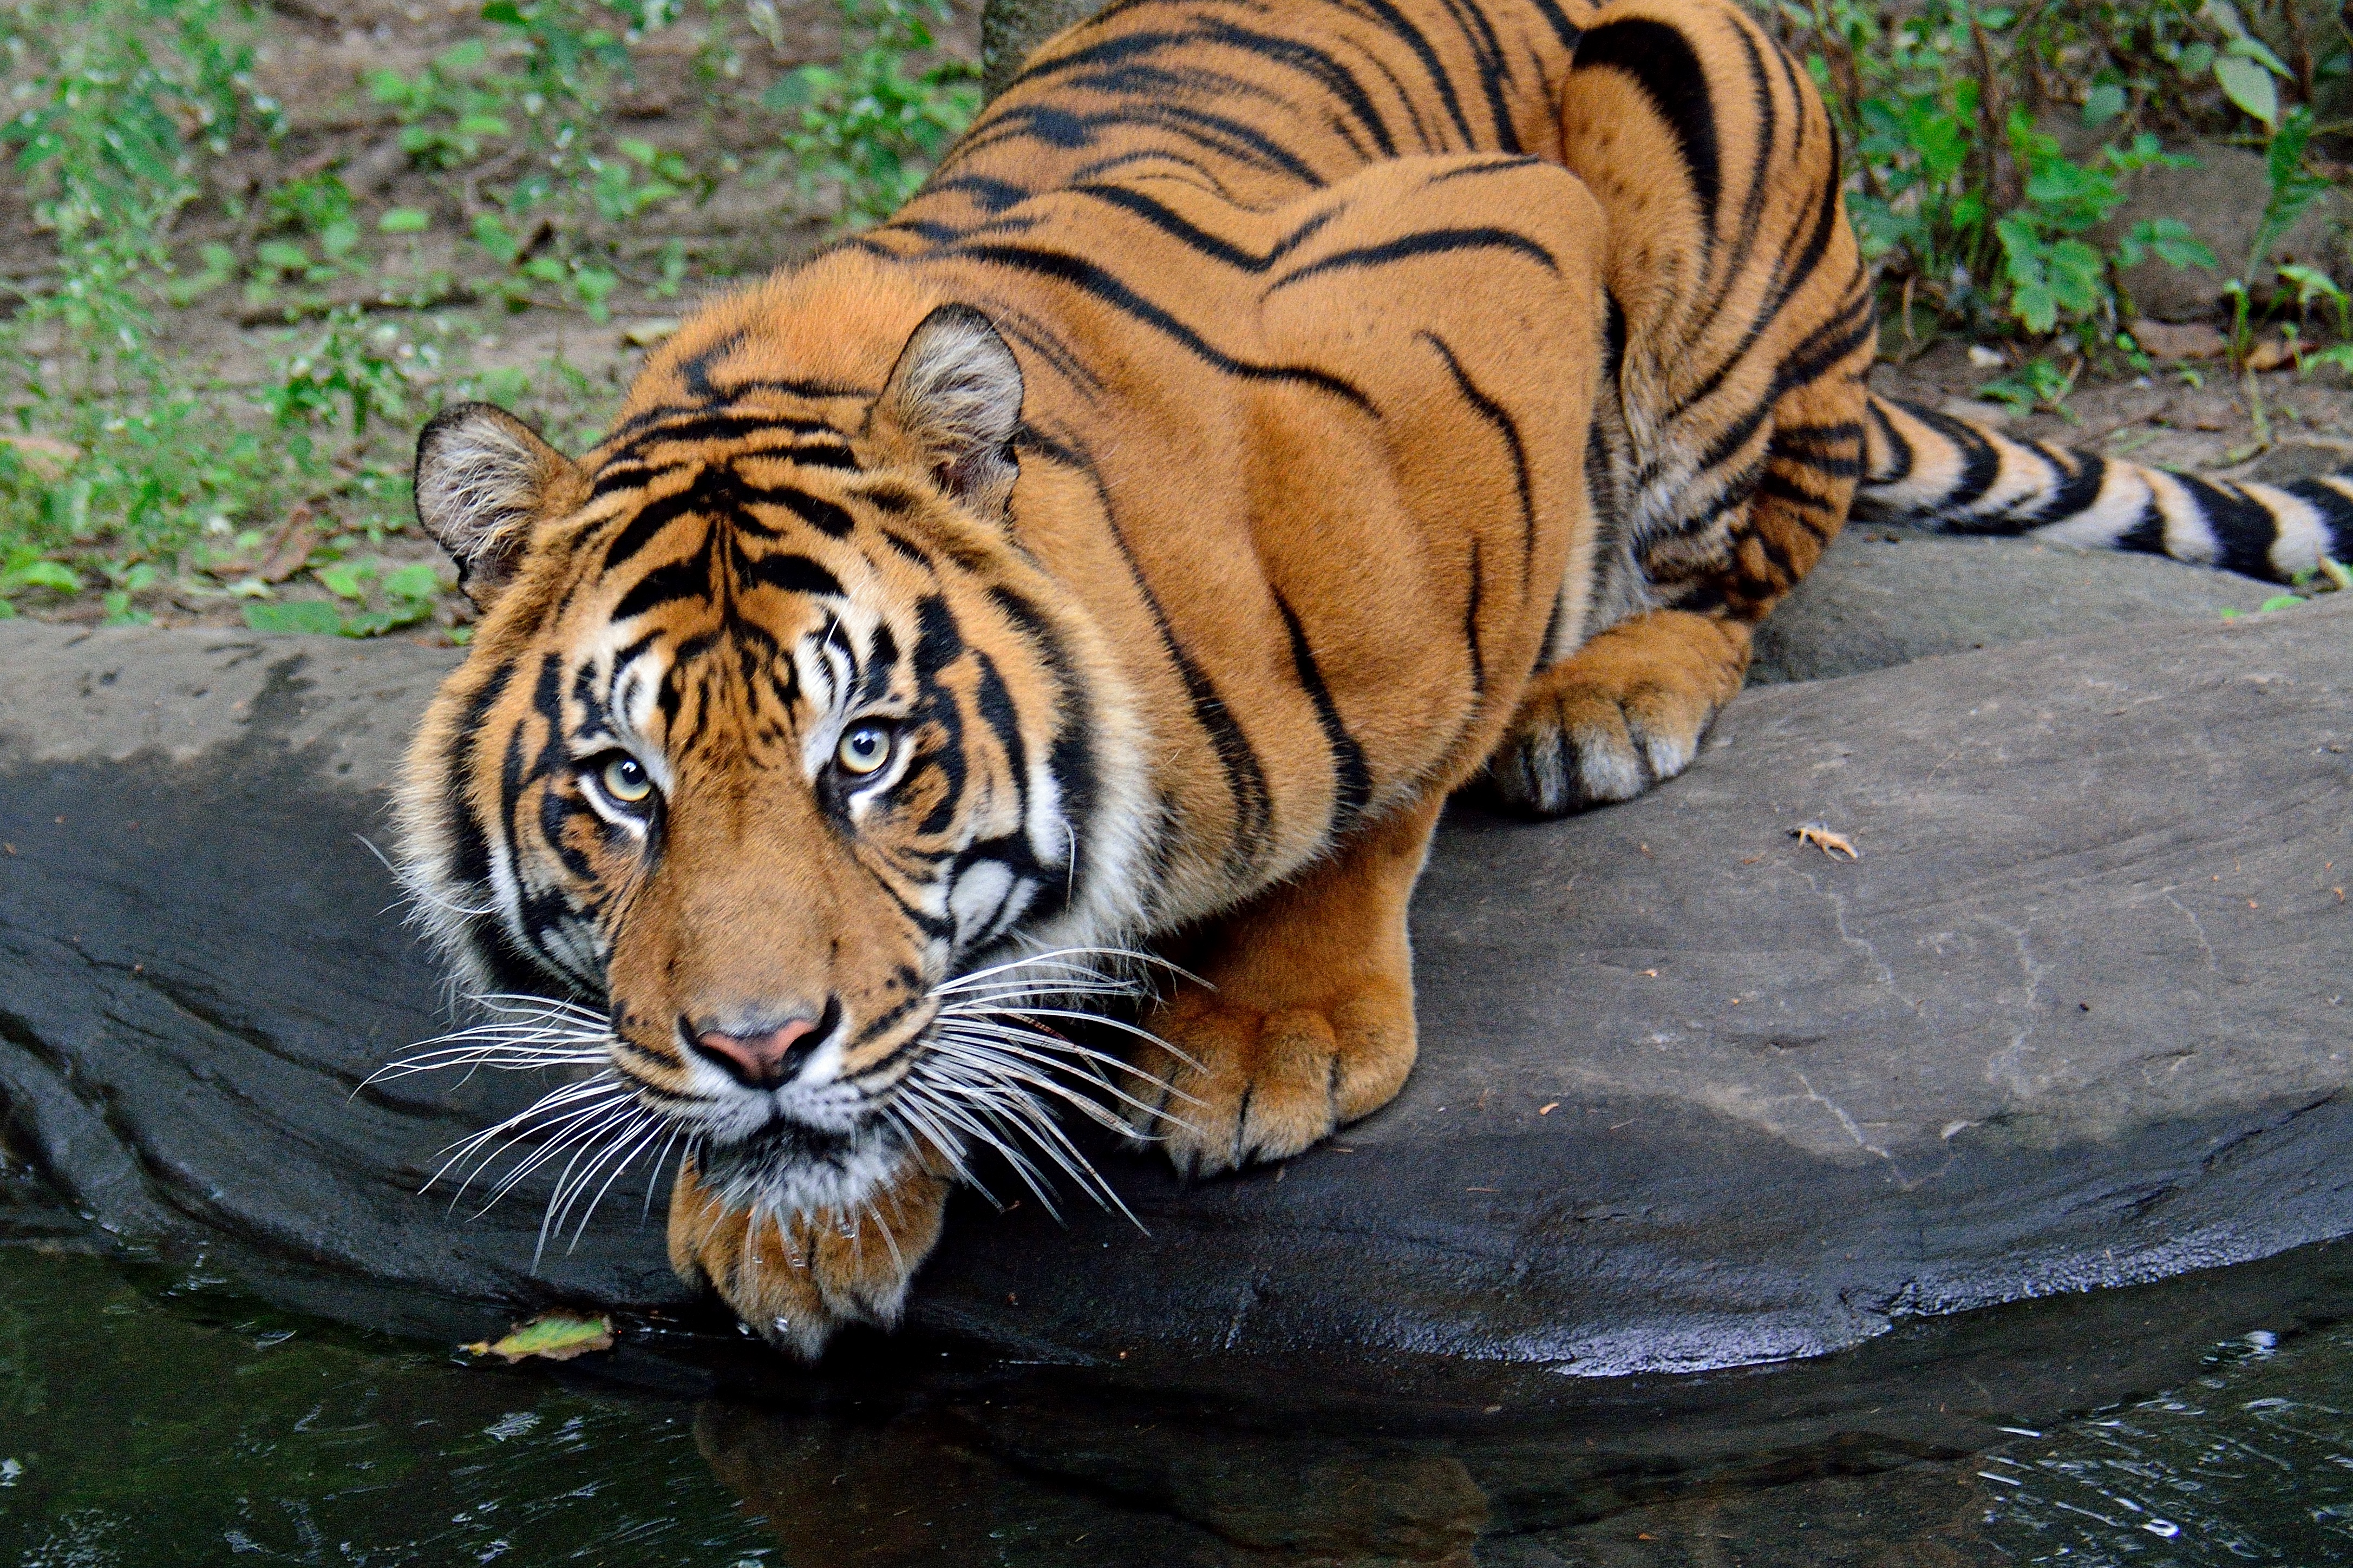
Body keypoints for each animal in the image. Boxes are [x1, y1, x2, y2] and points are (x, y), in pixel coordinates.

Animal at [392, 0, 2353, 1354]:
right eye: (622, 783)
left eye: (867, 751)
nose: (754, 1049)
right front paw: (797, 1221)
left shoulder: (1487, 295)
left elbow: (1379, 787)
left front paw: (1273, 1035)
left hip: (1691, 134)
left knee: (1746, 574)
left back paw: (1608, 693)